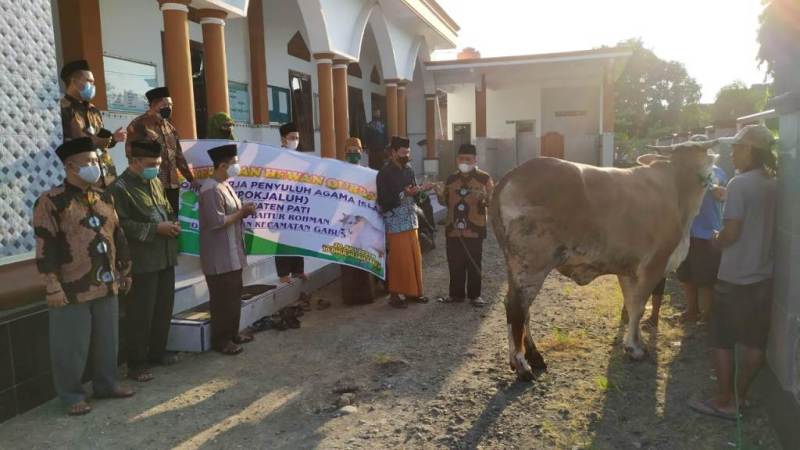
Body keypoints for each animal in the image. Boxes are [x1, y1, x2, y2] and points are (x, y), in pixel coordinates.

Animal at [490, 140, 716, 380]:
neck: (677, 187)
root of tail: (514, 173)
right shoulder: (654, 265)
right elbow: (638, 306)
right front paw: (634, 348)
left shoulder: (627, 270)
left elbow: (631, 304)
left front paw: (635, 342)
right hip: (532, 264)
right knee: (517, 308)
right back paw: (522, 366)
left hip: (517, 267)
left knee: (523, 310)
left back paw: (534, 357)